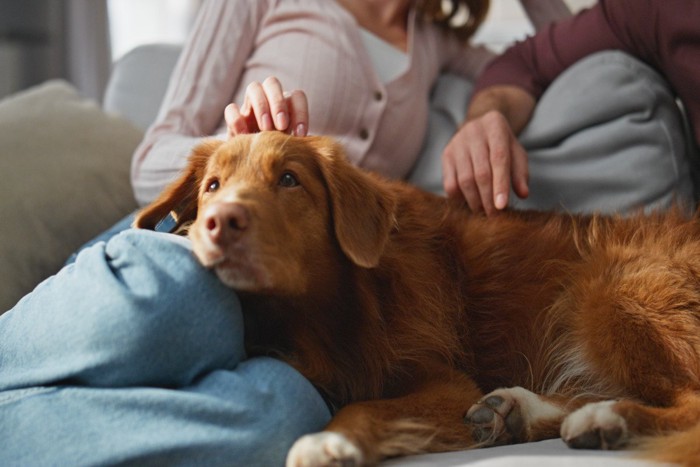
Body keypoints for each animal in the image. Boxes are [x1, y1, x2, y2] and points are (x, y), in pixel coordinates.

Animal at [134, 133, 700, 467]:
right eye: (212, 186)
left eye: (289, 180)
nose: (219, 222)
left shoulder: (447, 383)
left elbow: (365, 405)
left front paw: (329, 440)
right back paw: (519, 410)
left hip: (613, 291)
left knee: (686, 400)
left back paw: (606, 420)